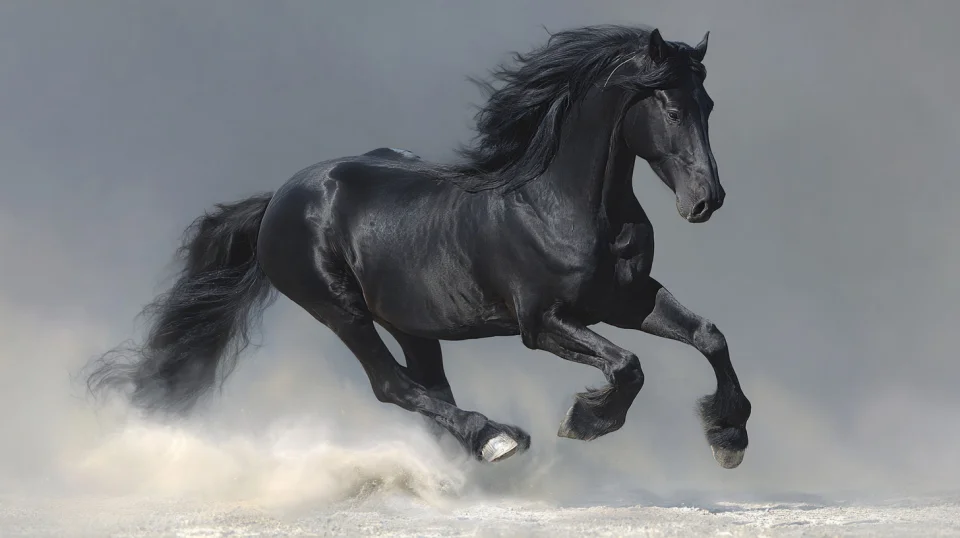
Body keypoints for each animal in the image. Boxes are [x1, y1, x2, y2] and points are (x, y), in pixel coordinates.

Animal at [86, 24, 752, 469]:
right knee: (393, 387)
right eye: (670, 108)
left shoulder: (626, 301)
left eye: (709, 104)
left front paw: (730, 438)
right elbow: (626, 365)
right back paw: (495, 439)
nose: (707, 200)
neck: (561, 203)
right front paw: (587, 421)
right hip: (340, 310)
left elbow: (709, 336)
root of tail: (279, 198)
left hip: (411, 322)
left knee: (428, 391)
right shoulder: (543, 323)